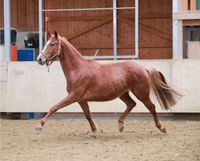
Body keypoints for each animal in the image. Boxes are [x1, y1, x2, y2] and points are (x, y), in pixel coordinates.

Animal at [36, 30, 181, 136]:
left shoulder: (73, 96)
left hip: (141, 93)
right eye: (46, 43)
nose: (39, 59)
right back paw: (120, 125)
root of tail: (143, 68)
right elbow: (87, 115)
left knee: (151, 107)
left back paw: (161, 127)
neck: (78, 68)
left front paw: (39, 126)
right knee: (131, 104)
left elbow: (54, 107)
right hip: (123, 94)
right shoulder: (81, 99)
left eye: (52, 44)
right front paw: (94, 132)